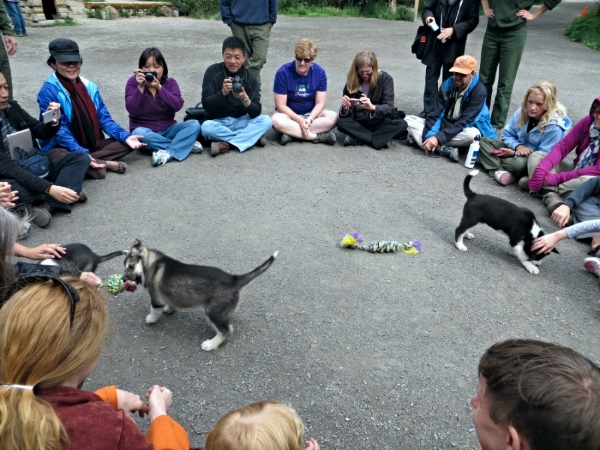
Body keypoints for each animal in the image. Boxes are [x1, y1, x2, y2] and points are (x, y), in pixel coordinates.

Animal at [125, 239, 280, 352]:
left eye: (130, 267)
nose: (124, 280)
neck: (150, 263)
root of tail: (234, 279)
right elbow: (171, 303)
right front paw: (169, 310)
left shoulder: (156, 299)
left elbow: (154, 311)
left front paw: (150, 319)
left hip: (213, 312)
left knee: (227, 330)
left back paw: (210, 345)